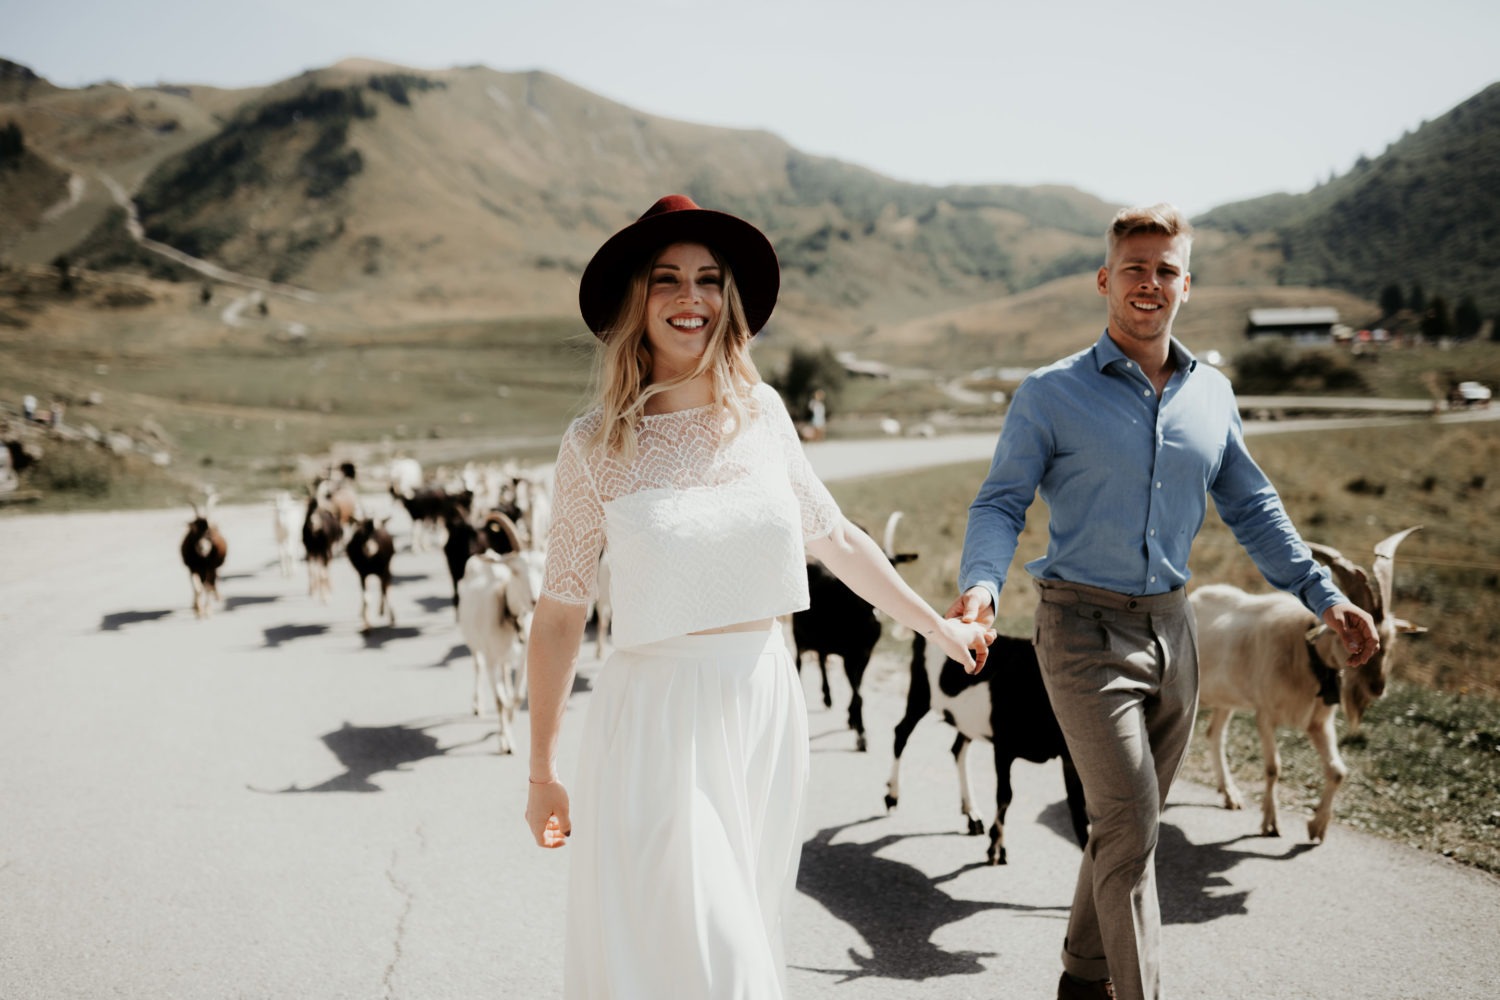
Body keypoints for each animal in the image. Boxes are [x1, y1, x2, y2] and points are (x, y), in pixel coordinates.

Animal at [456, 512, 544, 754]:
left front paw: (509, 728)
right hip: (476, 645)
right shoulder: (492, 659)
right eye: (516, 571)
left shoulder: (524, 658)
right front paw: (506, 741)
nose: (534, 601)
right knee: (478, 666)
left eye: (543, 569)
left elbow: (517, 697)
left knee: (505, 675)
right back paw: (477, 705)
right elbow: (501, 701)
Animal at [792, 512, 914, 751]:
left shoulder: (864, 654)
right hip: (799, 635)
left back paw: (828, 698)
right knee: (800, 661)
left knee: (822, 659)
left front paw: (853, 721)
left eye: (894, 565)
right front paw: (861, 736)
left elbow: (858, 690)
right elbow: (858, 695)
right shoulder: (850, 656)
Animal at [885, 631, 1089, 865]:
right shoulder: (1003, 746)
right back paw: (892, 796)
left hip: (963, 720)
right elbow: (1005, 795)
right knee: (902, 732)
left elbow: (1080, 809)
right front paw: (997, 848)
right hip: (921, 692)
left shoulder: (1069, 756)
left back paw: (972, 815)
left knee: (958, 750)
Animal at [1190, 526, 1425, 841]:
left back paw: (1230, 795)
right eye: (1349, 638)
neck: (1304, 651)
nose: (1377, 687)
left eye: (1386, 642)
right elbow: (1273, 768)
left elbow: (1337, 771)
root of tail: (1193, 597)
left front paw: (1317, 827)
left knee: (1214, 734)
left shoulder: (1319, 723)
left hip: (1226, 699)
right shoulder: (1265, 715)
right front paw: (1270, 823)